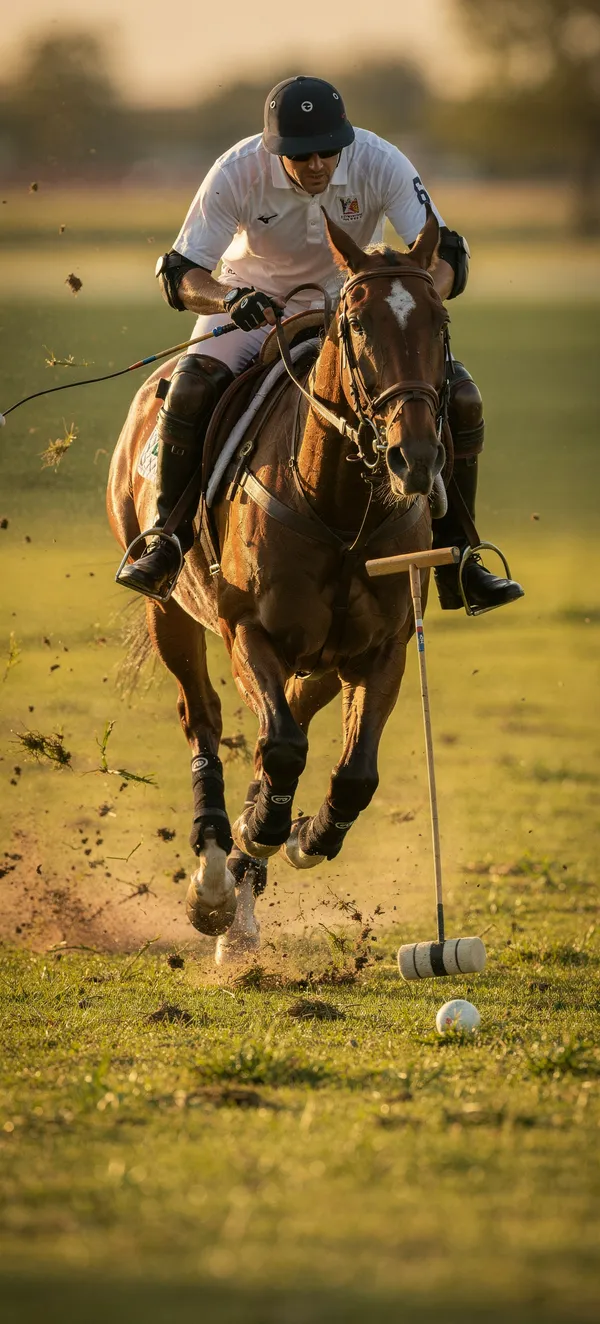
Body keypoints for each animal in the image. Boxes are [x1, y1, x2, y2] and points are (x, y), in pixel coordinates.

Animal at [107, 208, 450, 962]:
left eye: (440, 320)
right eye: (356, 325)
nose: (413, 457)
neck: (340, 508)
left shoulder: (380, 649)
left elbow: (353, 773)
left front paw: (302, 836)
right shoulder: (248, 632)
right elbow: (281, 746)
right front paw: (257, 831)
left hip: (322, 660)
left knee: (288, 717)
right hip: (169, 609)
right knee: (203, 718)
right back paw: (215, 876)